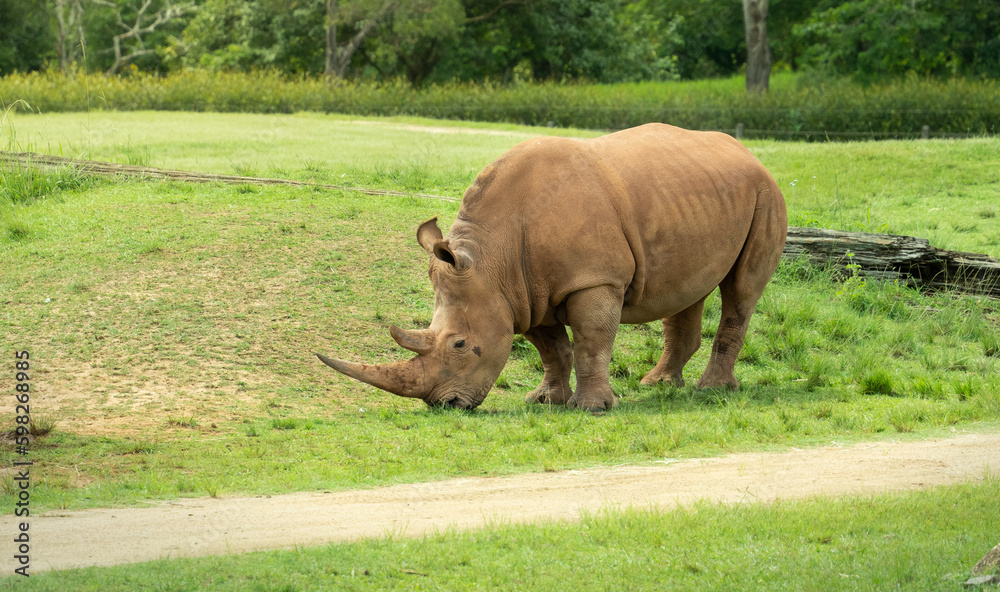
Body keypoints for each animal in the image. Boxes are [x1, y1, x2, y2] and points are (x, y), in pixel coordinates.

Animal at [318, 123, 787, 411]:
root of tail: (748, 152)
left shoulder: (593, 280)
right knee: (686, 291)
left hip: (766, 193)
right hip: (699, 194)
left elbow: (592, 341)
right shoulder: (523, 293)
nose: (444, 405)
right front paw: (544, 401)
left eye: (460, 345)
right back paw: (656, 386)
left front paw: (593, 408)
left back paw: (711, 391)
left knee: (741, 292)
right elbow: (552, 348)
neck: (493, 257)